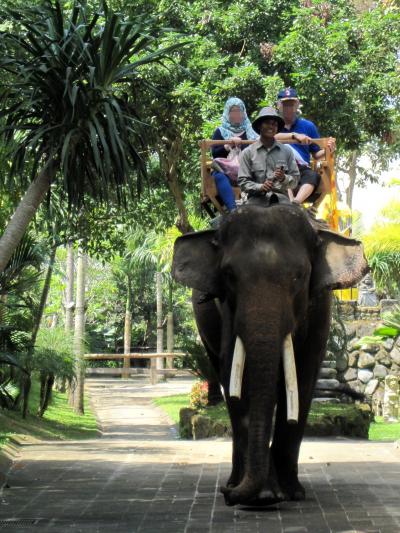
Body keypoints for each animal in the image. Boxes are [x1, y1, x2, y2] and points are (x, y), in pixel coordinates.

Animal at [173, 204, 368, 508]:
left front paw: (291, 493)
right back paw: (238, 480)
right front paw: (262, 496)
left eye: (299, 275)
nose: (225, 494)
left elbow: (305, 372)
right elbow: (234, 371)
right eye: (229, 274)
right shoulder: (226, 307)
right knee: (220, 369)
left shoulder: (320, 305)